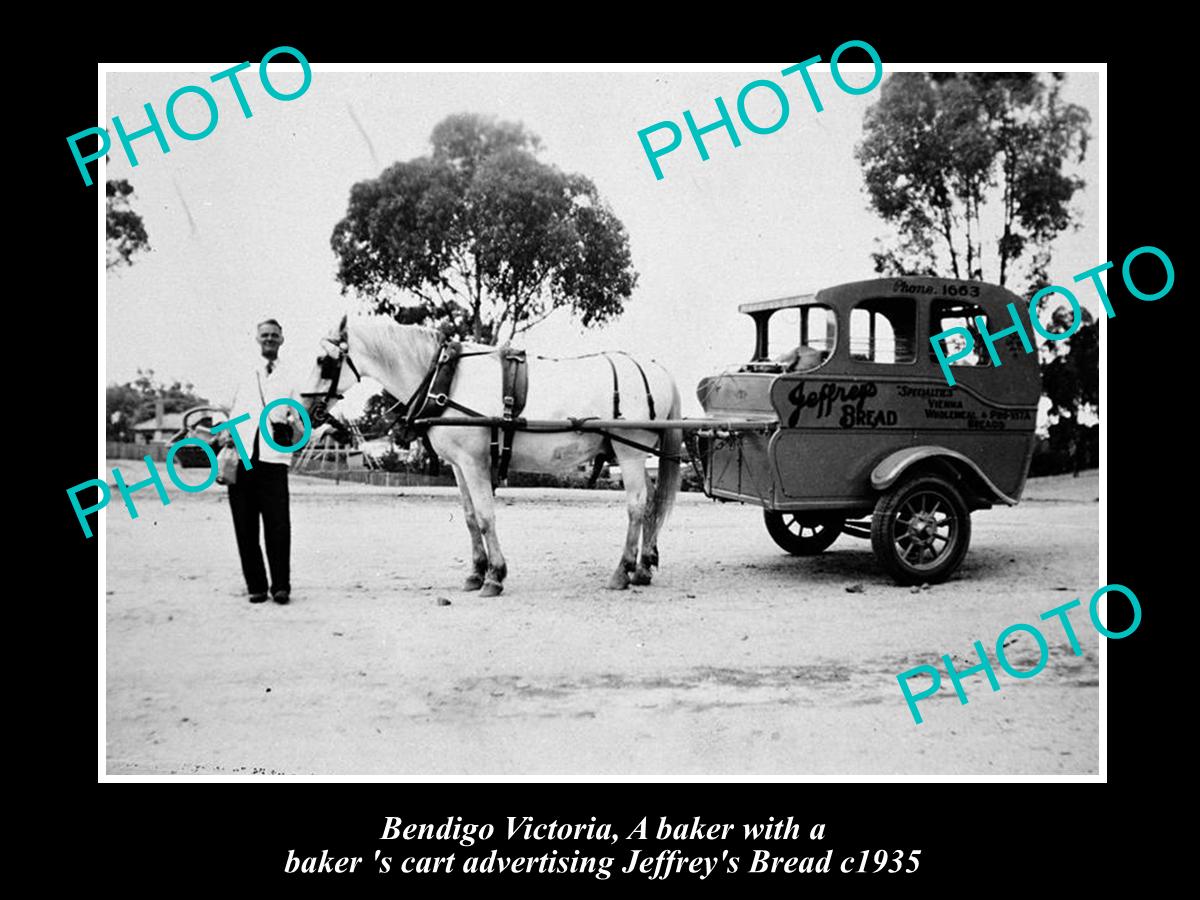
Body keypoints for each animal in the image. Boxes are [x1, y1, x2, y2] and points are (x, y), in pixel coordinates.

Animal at [300, 316, 686, 600]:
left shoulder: (474, 463)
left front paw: (495, 577)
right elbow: (471, 518)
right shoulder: (459, 466)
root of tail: (656, 369)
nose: (300, 412)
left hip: (630, 453)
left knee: (637, 505)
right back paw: (644, 566)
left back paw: (623, 571)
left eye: (323, 361)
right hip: (634, 452)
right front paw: (475, 572)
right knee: (651, 501)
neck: (445, 379)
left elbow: (486, 517)